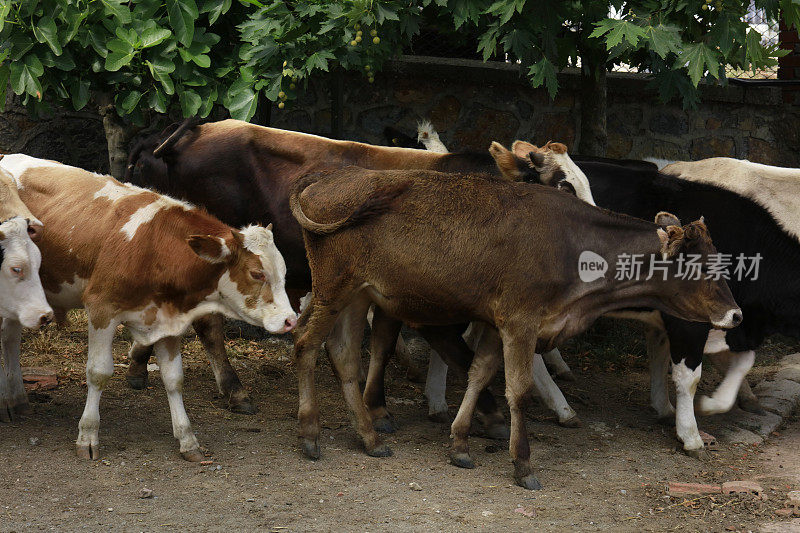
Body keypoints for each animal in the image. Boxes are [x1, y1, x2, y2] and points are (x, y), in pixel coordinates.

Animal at [0, 153, 296, 458]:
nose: (291, 319)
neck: (153, 246)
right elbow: (98, 373)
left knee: (11, 338)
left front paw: (187, 439)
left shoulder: (169, 319)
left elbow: (174, 378)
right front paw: (88, 435)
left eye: (284, 272)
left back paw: (17, 399)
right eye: (257, 274)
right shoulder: (101, 308)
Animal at [290, 168, 740, 488]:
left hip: (359, 296)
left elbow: (478, 374)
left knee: (345, 357)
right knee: (305, 344)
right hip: (333, 288)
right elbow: (518, 391)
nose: (736, 315)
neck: (574, 248)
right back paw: (310, 434)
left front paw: (459, 444)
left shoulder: (497, 324)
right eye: (700, 267)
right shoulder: (521, 323)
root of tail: (327, 180)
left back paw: (369, 437)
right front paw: (522, 464)